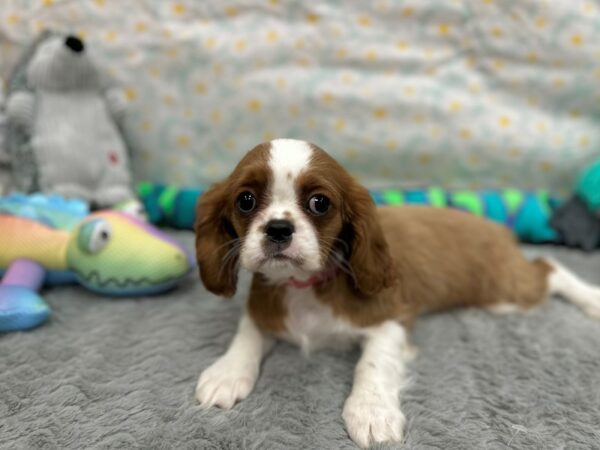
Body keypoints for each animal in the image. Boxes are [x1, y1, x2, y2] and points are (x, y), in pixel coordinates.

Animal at [195, 139, 596, 448]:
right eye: (246, 200)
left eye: (319, 203)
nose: (279, 228)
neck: (303, 285)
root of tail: (498, 229)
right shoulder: (263, 309)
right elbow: (247, 332)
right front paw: (226, 373)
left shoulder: (389, 320)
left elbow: (372, 364)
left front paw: (371, 412)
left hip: (504, 293)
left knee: (549, 267)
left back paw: (593, 299)